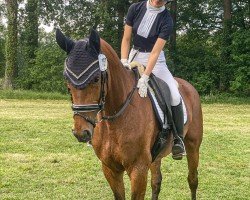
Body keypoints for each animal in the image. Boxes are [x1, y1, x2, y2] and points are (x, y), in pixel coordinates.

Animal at [55, 28, 203, 200]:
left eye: (96, 78)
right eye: (66, 79)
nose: (81, 133)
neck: (114, 120)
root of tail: (189, 87)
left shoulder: (138, 169)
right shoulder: (110, 169)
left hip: (193, 145)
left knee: (192, 179)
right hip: (156, 157)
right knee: (156, 182)